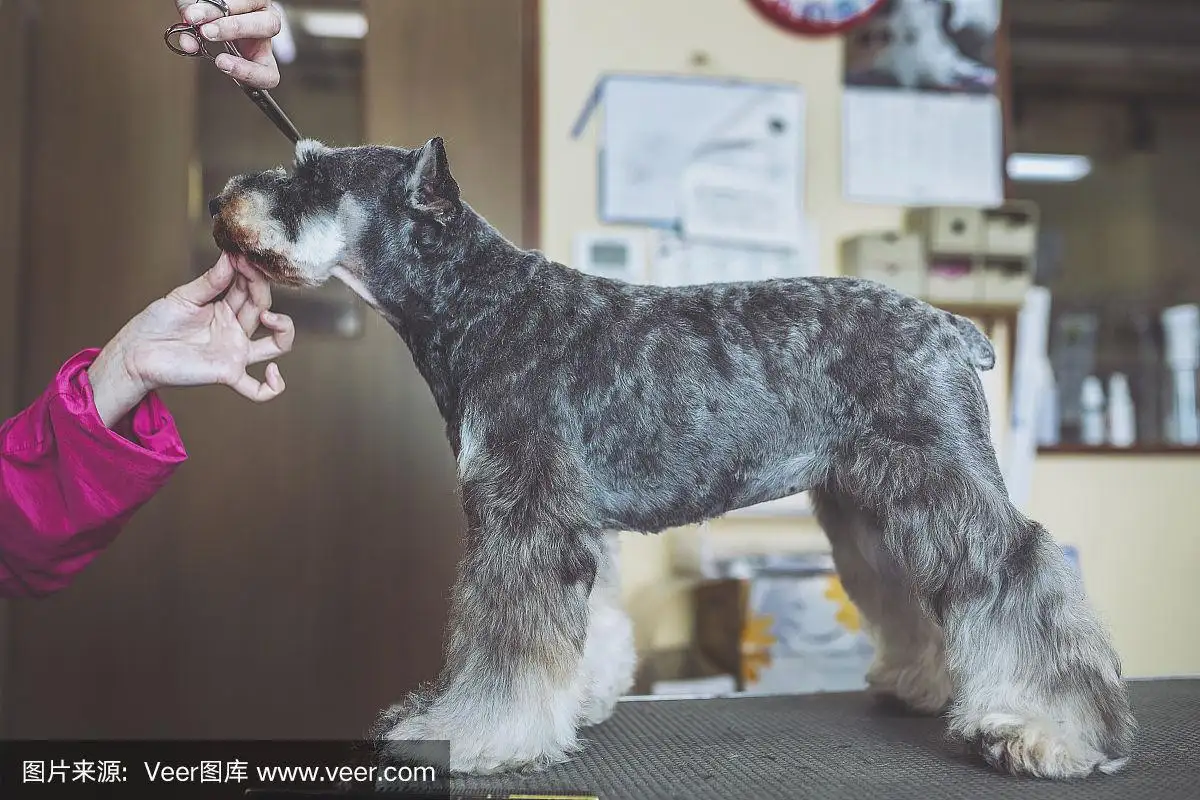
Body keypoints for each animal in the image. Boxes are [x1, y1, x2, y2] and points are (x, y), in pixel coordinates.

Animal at [211, 137, 1137, 782]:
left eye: (316, 180)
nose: (223, 198)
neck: (481, 305)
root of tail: (951, 327)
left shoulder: (522, 515)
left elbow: (505, 643)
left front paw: (472, 736)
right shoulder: (573, 521)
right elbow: (588, 627)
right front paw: (579, 702)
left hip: (938, 484)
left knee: (1020, 571)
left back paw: (1046, 732)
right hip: (872, 512)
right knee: (927, 597)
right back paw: (933, 687)